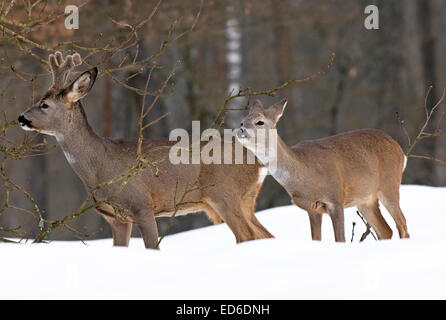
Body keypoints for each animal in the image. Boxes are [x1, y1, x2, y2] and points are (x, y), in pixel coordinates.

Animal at [17, 51, 274, 249]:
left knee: (248, 236)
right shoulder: (116, 218)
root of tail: (258, 160)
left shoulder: (142, 205)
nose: (21, 118)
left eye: (44, 104)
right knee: (265, 235)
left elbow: (153, 247)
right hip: (245, 199)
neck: (101, 165)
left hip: (224, 193)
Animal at [237, 99, 412, 242]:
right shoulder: (312, 208)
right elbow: (316, 239)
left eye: (260, 122)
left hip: (389, 184)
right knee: (386, 230)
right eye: (242, 121)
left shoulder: (335, 199)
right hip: (364, 199)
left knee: (402, 224)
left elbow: (340, 239)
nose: (240, 130)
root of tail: (400, 150)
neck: (304, 175)